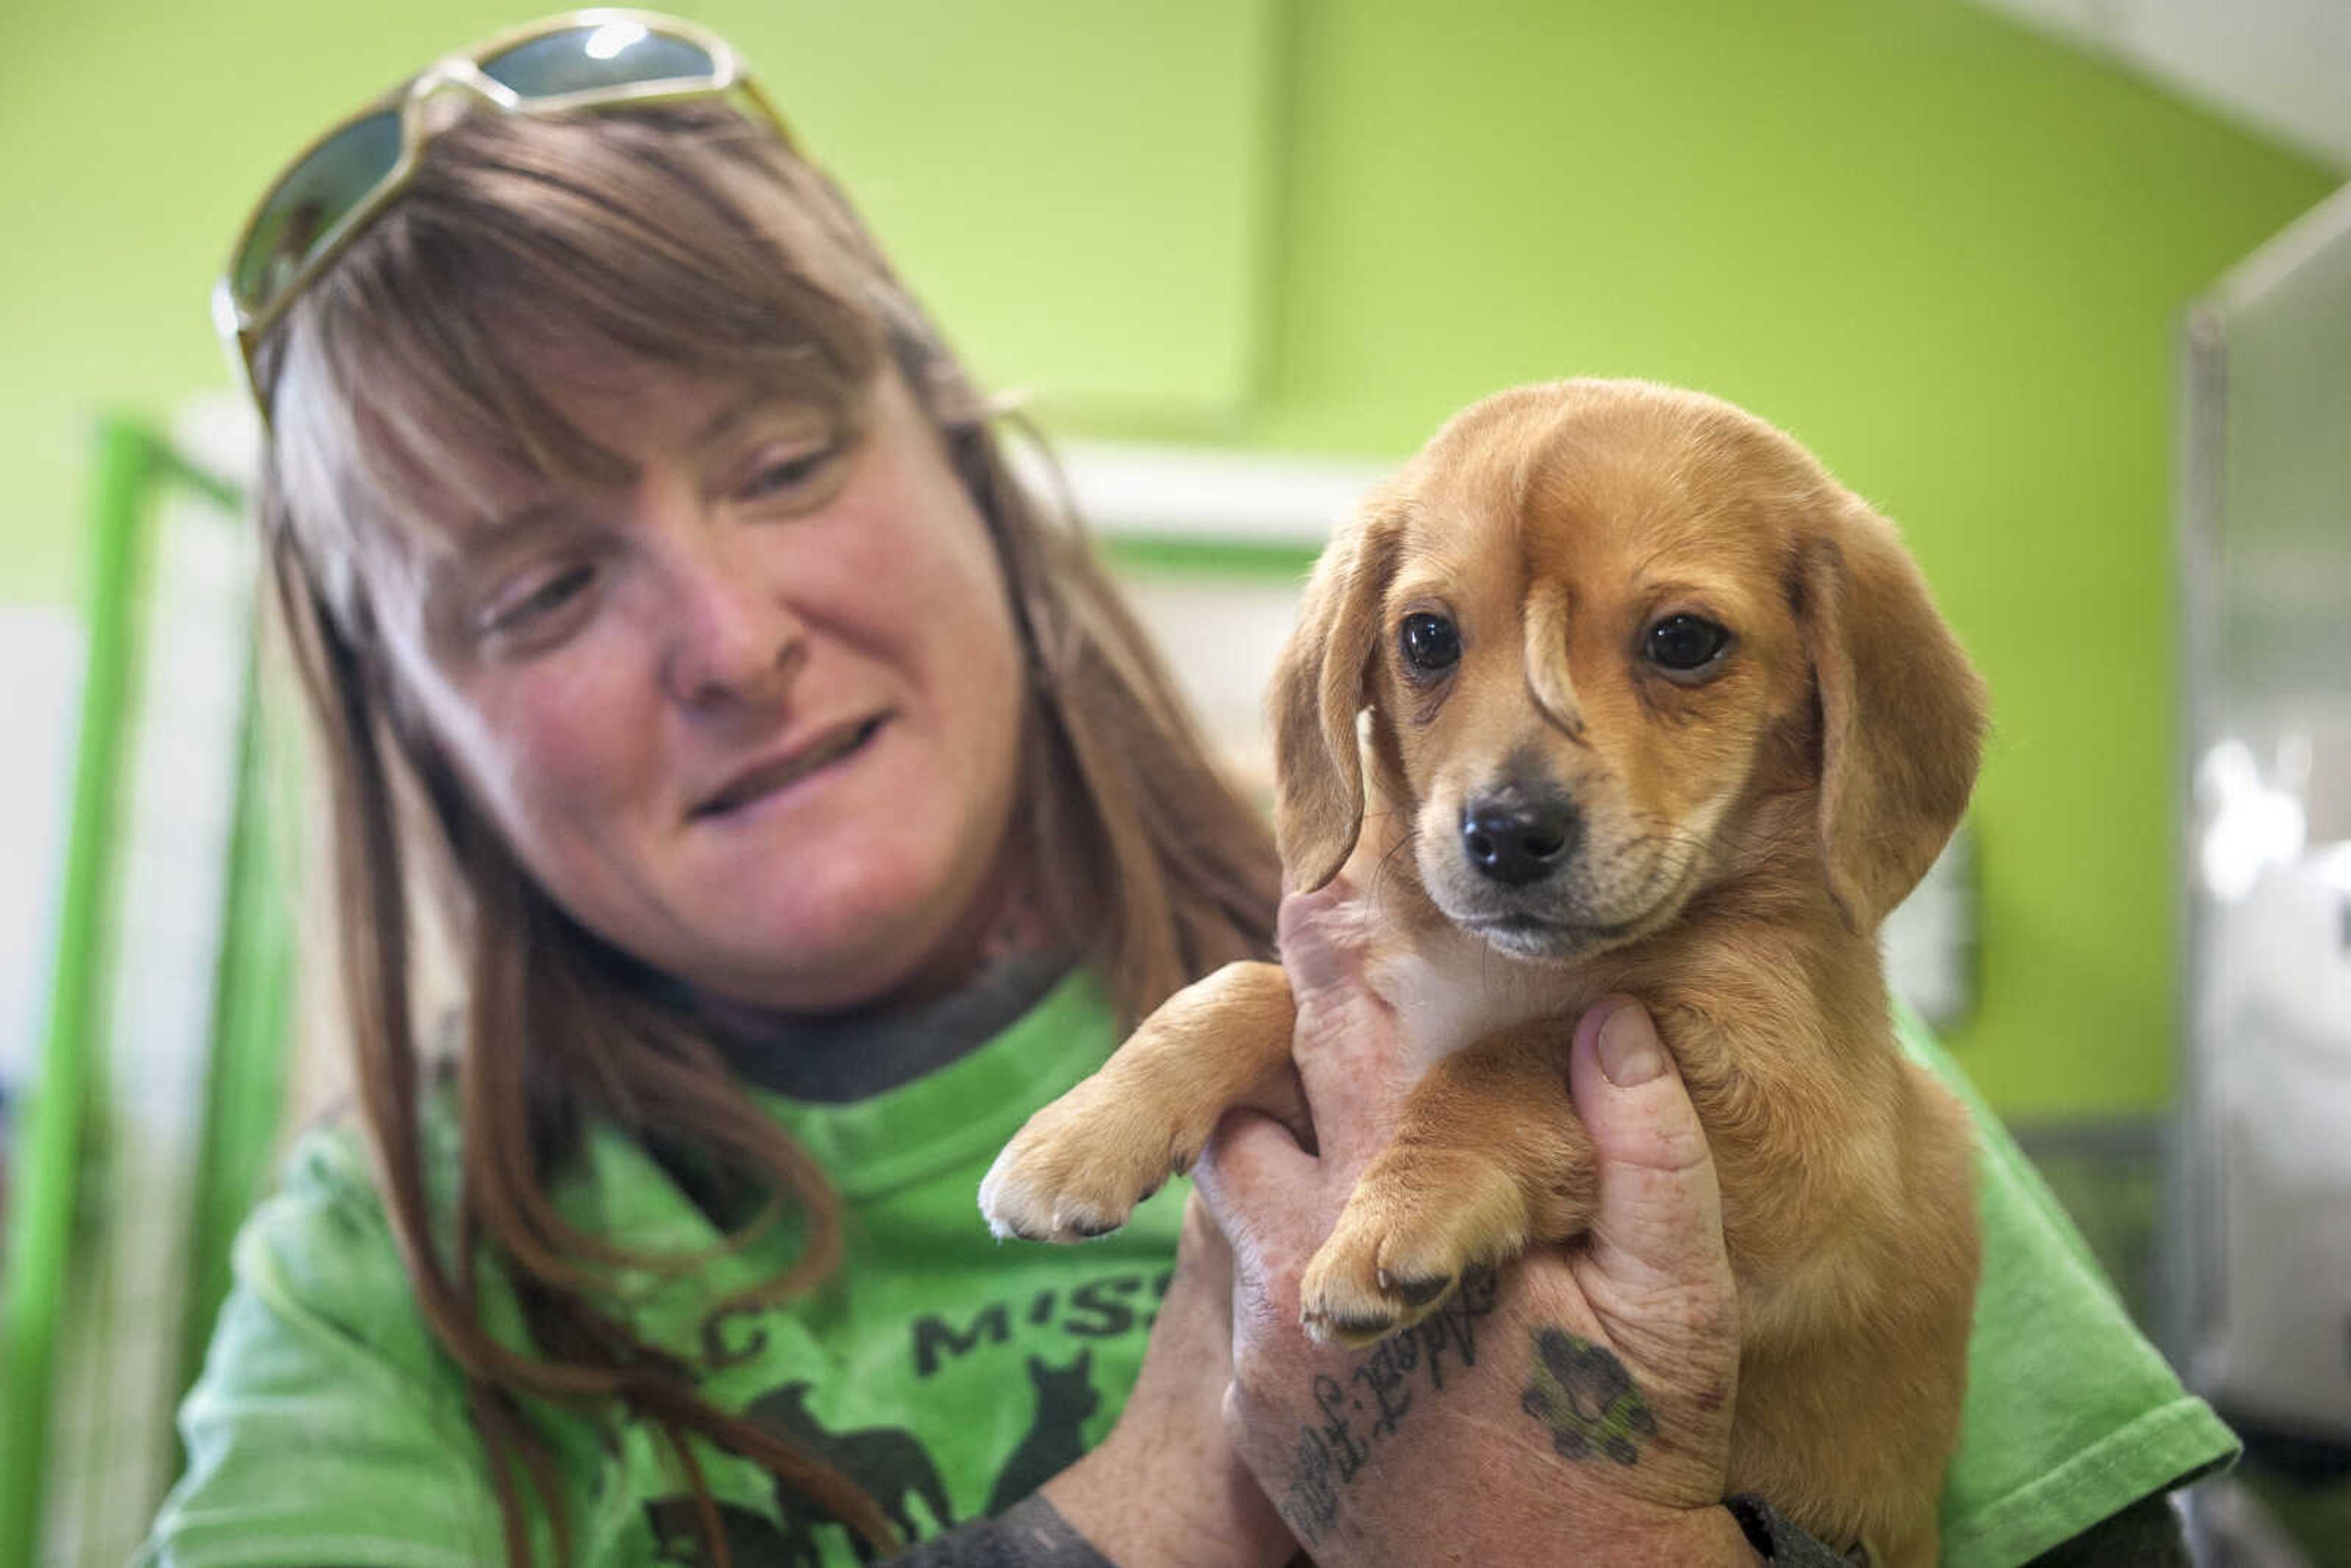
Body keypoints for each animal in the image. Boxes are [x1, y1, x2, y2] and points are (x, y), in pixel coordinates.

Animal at [973, 381, 1984, 1568]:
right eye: (1426, 637)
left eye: (1684, 640)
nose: (1505, 832)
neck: (1492, 964)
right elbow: (1239, 989)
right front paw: (1082, 1131)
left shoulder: (1803, 1151)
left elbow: (1513, 1059)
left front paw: (1406, 1208)